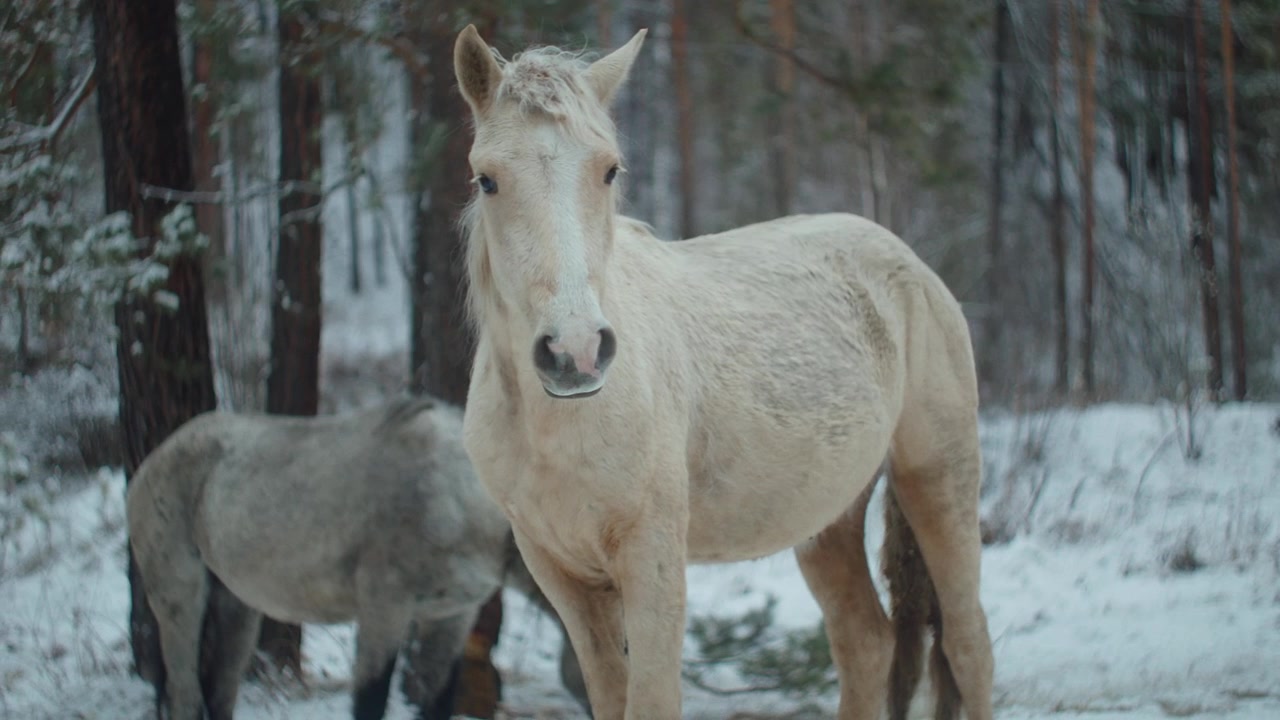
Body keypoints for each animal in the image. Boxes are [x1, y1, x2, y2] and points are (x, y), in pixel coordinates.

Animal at [126, 395, 589, 720]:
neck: (457, 499)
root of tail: (152, 461)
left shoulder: (451, 617)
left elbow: (438, 702)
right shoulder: (384, 610)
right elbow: (370, 702)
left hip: (236, 604)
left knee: (218, 692)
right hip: (179, 598)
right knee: (185, 696)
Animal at [450, 24, 995, 720]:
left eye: (609, 170)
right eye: (487, 179)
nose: (575, 352)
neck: (563, 424)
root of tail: (913, 267)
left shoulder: (652, 562)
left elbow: (653, 700)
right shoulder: (562, 573)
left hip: (940, 480)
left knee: (967, 646)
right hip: (828, 521)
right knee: (866, 645)